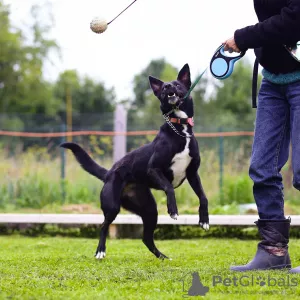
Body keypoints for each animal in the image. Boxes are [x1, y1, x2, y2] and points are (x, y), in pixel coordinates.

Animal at [61, 63, 209, 260]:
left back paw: (162, 257)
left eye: (177, 85)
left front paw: (204, 220)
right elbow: (169, 188)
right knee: (104, 226)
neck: (180, 129)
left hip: (148, 208)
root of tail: (109, 173)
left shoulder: (192, 173)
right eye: (163, 88)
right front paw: (173, 210)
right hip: (112, 206)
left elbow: (203, 197)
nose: (168, 87)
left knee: (146, 238)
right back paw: (100, 251)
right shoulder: (154, 169)